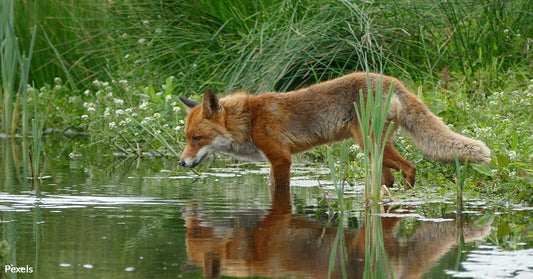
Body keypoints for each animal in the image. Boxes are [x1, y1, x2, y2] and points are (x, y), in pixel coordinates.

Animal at [179, 72, 490, 190]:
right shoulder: (274, 162)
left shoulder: (281, 160)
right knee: (390, 177)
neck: (251, 120)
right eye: (187, 139)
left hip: (369, 145)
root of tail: (392, 80)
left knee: (411, 167)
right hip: (375, 150)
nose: (181, 162)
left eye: (197, 138)